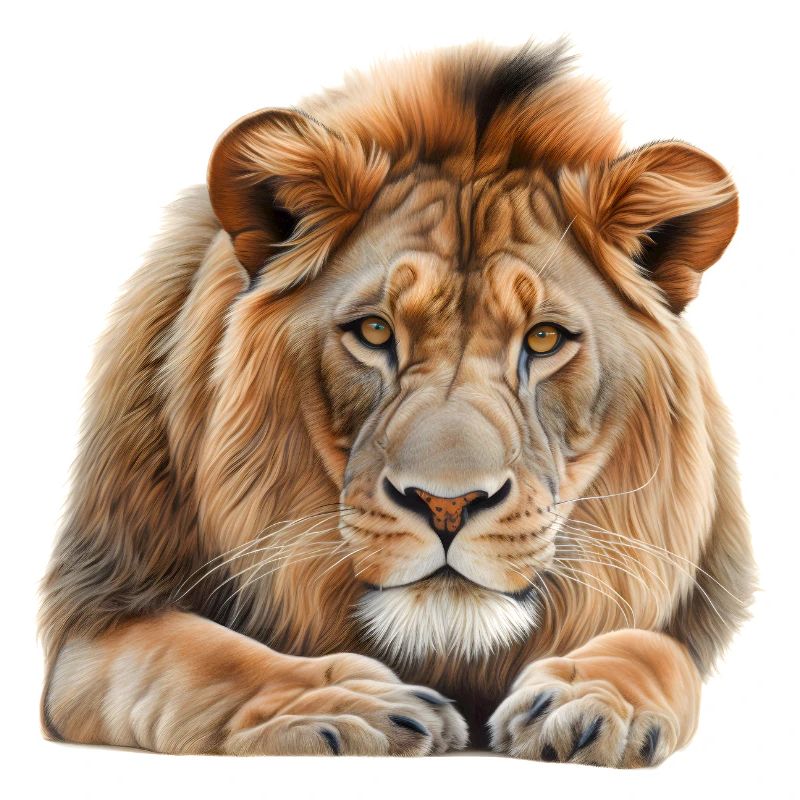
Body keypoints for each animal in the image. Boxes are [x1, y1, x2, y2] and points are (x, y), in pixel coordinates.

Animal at [40, 40, 755, 766]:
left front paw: (592, 701)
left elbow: (656, 648)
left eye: (545, 338)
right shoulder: (98, 618)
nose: (446, 505)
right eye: (375, 331)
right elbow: (213, 657)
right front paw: (346, 703)